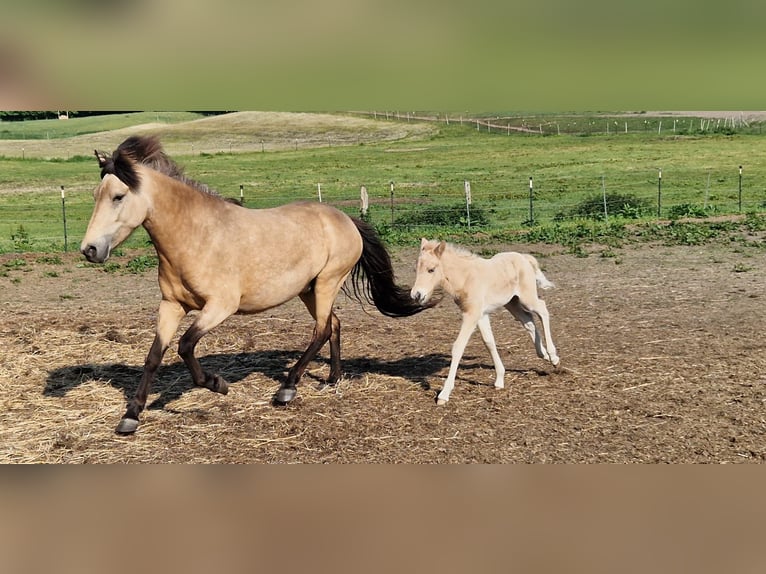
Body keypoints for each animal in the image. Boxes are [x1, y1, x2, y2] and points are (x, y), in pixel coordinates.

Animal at [414, 241, 560, 408]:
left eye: (431, 269)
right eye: (416, 268)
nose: (416, 295)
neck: (466, 277)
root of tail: (524, 258)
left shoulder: (471, 314)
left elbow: (458, 347)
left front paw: (444, 394)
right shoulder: (481, 315)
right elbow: (489, 342)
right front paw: (500, 379)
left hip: (527, 298)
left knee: (542, 310)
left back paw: (553, 356)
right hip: (512, 303)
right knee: (528, 320)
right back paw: (544, 354)